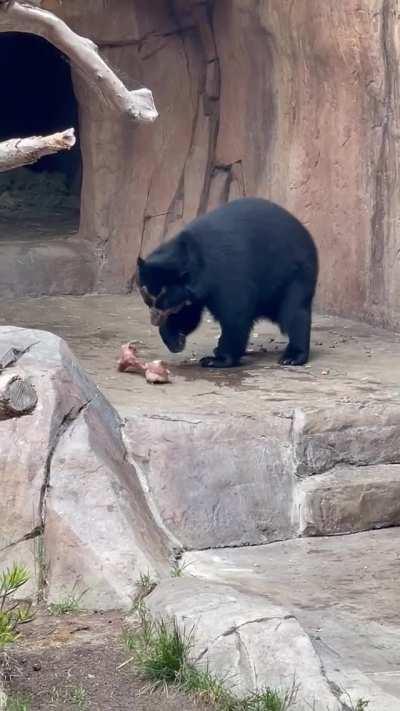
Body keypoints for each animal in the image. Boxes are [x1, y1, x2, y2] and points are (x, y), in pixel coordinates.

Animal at [137, 197, 319, 368]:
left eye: (161, 300)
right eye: (148, 300)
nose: (154, 319)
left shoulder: (226, 274)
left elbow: (235, 313)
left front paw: (216, 359)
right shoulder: (190, 295)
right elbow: (188, 314)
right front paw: (174, 340)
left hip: (296, 274)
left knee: (294, 312)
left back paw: (292, 357)